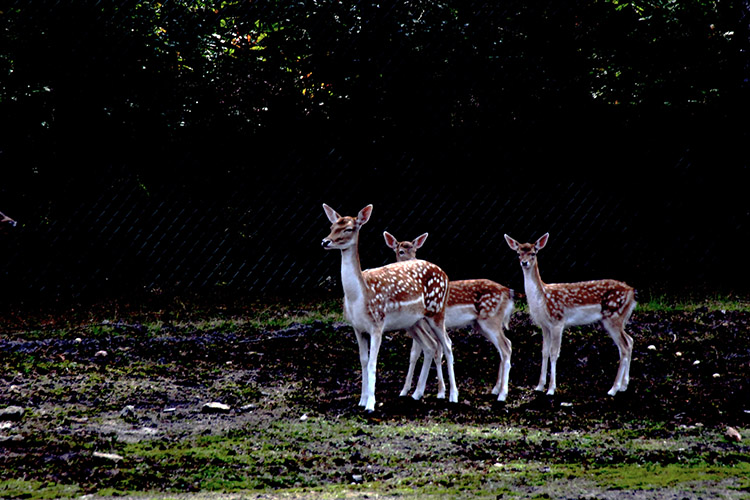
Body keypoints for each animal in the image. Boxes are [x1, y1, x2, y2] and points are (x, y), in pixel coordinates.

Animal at [322, 203, 462, 410]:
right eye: (331, 226)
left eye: (348, 228)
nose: (325, 241)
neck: (358, 296)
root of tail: (445, 274)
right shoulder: (357, 327)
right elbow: (363, 361)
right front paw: (361, 400)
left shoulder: (377, 324)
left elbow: (373, 363)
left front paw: (370, 404)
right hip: (413, 322)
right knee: (430, 346)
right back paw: (416, 394)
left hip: (437, 311)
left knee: (448, 344)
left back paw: (452, 395)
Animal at [382, 232, 516, 400]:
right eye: (401, 251)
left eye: (415, 251)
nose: (413, 262)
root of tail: (508, 292)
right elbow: (416, 354)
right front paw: (408, 391)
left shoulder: (425, 324)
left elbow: (432, 352)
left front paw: (438, 392)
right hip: (481, 325)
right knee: (505, 345)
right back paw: (496, 389)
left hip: (491, 320)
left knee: (505, 347)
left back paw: (502, 393)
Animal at [502, 232, 636, 396]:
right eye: (518, 253)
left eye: (533, 253)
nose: (524, 263)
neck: (542, 299)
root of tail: (632, 293)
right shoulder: (544, 325)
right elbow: (544, 352)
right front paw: (539, 386)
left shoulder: (557, 321)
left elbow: (554, 353)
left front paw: (551, 389)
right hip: (617, 319)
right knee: (630, 341)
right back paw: (624, 386)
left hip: (614, 317)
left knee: (624, 347)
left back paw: (613, 389)